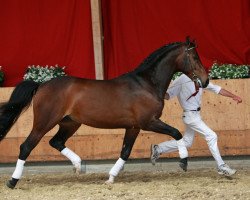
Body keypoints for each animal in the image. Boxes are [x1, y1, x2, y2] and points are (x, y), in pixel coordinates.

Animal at [0, 38, 209, 189]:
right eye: (195, 58)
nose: (206, 80)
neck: (146, 83)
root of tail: (41, 84)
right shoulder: (148, 122)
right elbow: (176, 133)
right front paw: (183, 161)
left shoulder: (133, 127)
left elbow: (125, 151)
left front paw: (110, 177)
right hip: (44, 123)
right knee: (26, 147)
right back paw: (12, 181)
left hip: (70, 123)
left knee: (56, 142)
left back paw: (78, 165)